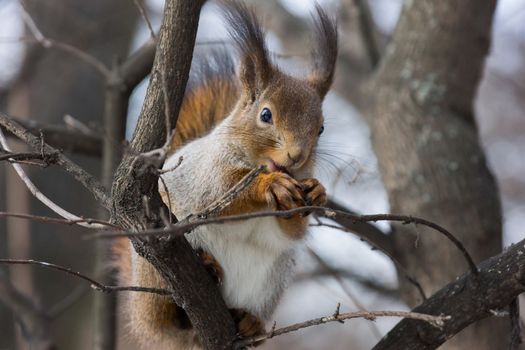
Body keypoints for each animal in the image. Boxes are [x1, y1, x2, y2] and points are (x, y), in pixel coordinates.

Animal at [113, 1, 336, 348]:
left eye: (321, 128)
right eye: (266, 114)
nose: (297, 156)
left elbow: (291, 233)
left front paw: (316, 191)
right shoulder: (209, 173)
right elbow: (221, 196)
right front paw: (269, 185)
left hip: (271, 282)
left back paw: (250, 322)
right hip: (153, 279)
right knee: (169, 317)